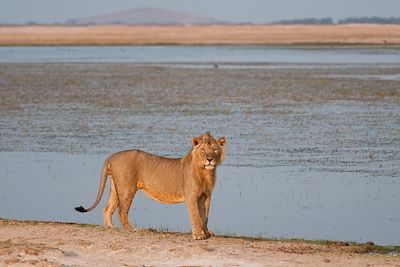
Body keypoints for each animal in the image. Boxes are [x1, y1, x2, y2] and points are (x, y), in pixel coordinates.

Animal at [75, 132, 225, 241]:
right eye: (203, 150)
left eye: (215, 150)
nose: (210, 160)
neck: (206, 172)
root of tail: (111, 156)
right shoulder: (191, 196)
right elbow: (195, 215)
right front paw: (198, 235)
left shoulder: (206, 196)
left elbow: (205, 216)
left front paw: (207, 233)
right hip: (127, 188)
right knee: (121, 211)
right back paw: (131, 230)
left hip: (115, 188)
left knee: (107, 209)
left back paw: (112, 229)